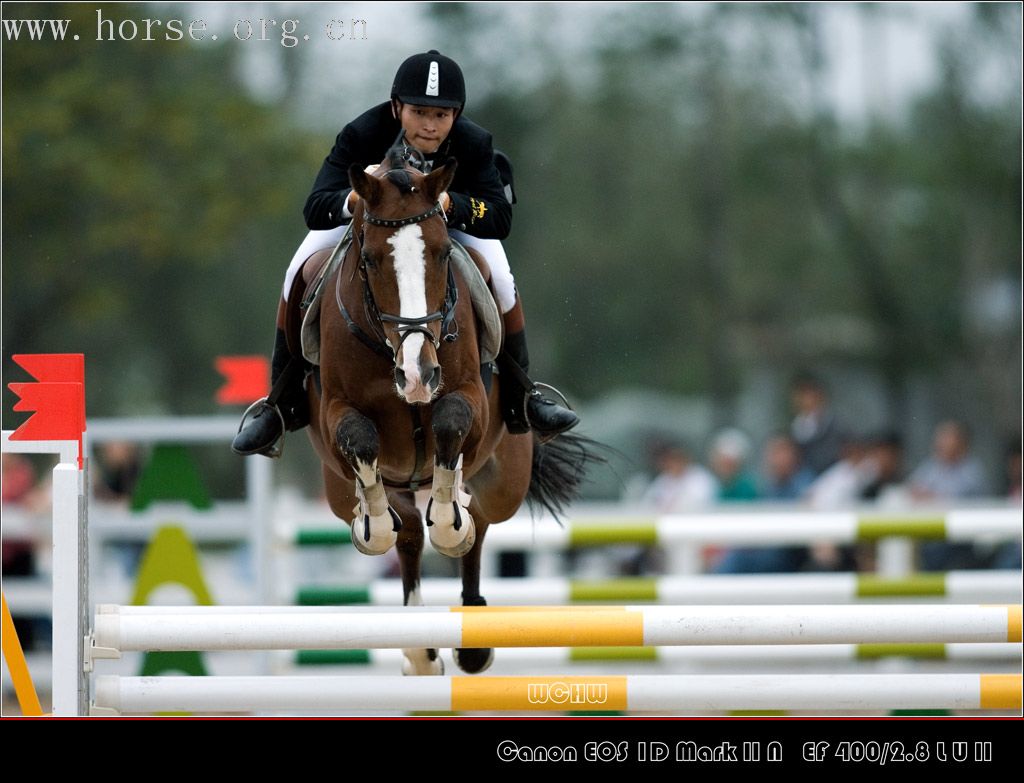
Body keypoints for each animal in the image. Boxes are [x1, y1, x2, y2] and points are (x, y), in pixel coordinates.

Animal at [299, 146, 598, 671]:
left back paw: (471, 627)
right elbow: (361, 442)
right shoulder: (336, 411)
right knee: (408, 532)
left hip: (505, 482)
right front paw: (373, 526)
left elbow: (450, 424)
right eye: (370, 259)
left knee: (478, 518)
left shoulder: (468, 399)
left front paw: (448, 522)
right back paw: (419, 646)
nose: (418, 373)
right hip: (343, 488)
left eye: (441, 254)